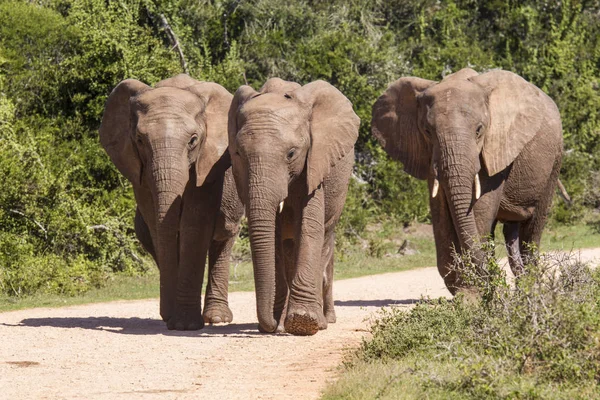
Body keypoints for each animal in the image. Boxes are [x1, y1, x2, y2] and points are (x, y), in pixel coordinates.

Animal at [101, 73, 244, 330]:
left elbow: (194, 222)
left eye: (193, 140)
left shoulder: (208, 164)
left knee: (224, 236)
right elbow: (156, 223)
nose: (168, 318)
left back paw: (216, 319)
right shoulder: (138, 168)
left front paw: (185, 325)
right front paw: (173, 318)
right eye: (139, 139)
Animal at [229, 77, 360, 334]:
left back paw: (324, 320)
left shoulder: (315, 161)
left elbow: (309, 226)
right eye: (238, 153)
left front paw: (303, 323)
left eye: (291, 153)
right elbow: (275, 239)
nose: (267, 326)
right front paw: (281, 324)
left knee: (325, 241)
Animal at [370, 69, 564, 294]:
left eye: (479, 130)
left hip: (554, 161)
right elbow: (441, 211)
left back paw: (530, 292)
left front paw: (473, 293)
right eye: (427, 131)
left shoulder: (495, 146)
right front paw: (469, 293)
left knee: (531, 232)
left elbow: (479, 208)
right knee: (510, 233)